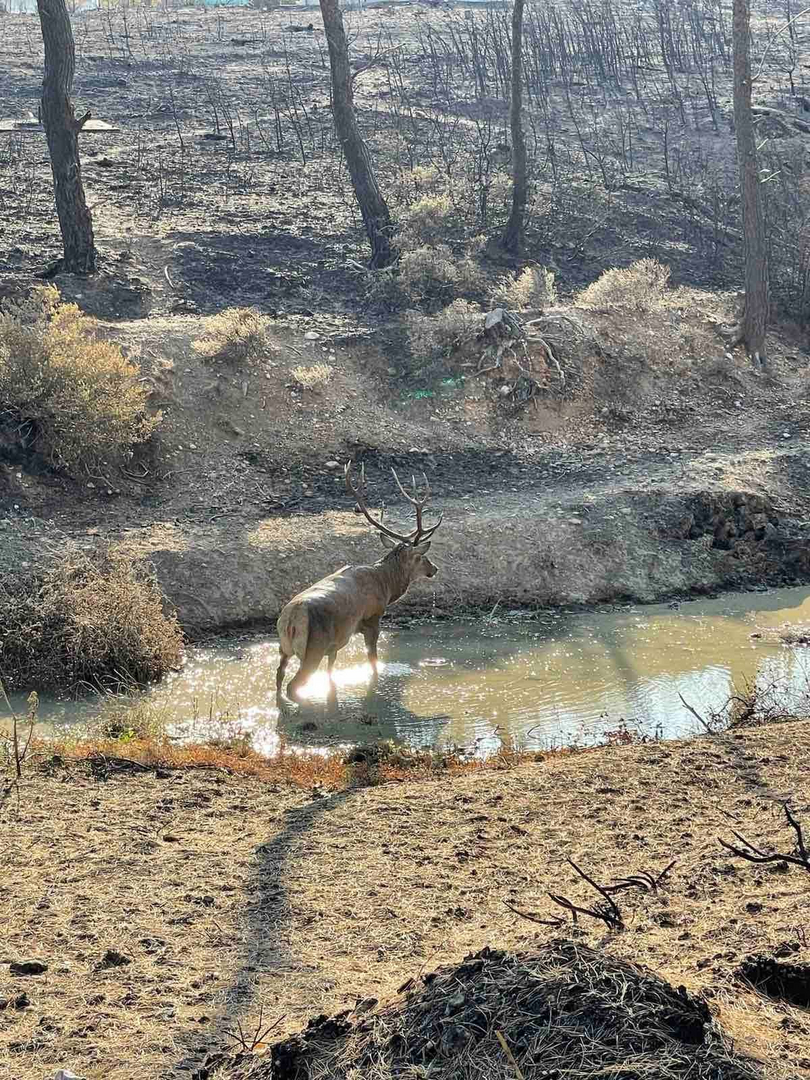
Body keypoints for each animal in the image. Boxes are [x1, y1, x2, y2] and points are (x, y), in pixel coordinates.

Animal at [278, 460, 444, 704]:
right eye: (421, 557)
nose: (435, 568)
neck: (386, 585)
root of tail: (290, 620)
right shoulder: (372, 619)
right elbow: (373, 660)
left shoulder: (336, 643)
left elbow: (331, 670)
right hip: (313, 646)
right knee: (293, 684)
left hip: (284, 648)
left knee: (279, 676)